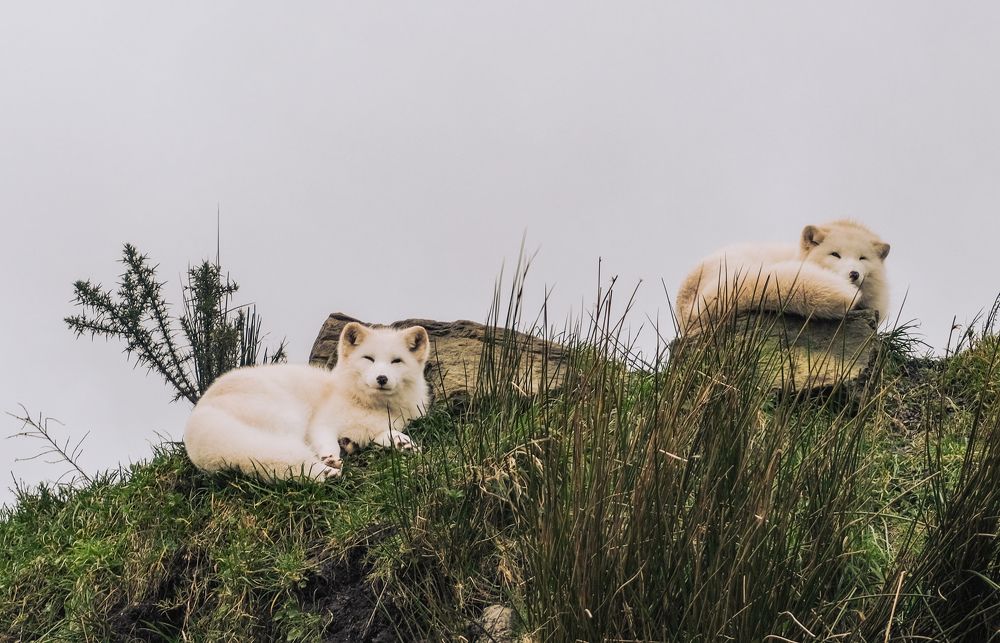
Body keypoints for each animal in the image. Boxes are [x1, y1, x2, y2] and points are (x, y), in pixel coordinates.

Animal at [183, 322, 431, 481]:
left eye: (396, 361)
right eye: (368, 359)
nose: (381, 378)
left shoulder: (381, 426)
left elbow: (385, 434)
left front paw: (403, 443)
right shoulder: (320, 422)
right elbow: (325, 440)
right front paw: (330, 457)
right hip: (288, 417)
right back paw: (327, 470)